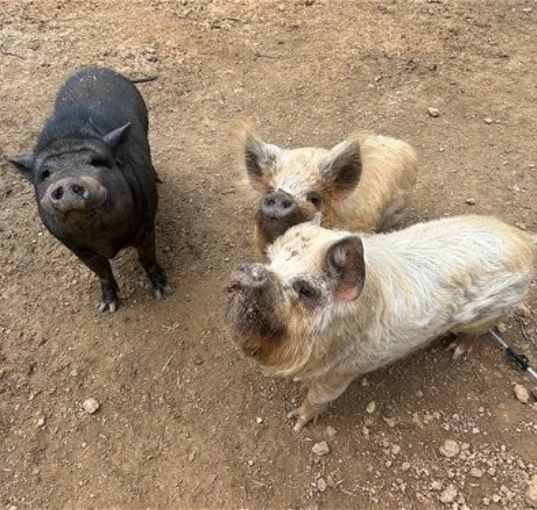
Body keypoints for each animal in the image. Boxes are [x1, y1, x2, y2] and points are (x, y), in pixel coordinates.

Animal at [9, 65, 171, 308]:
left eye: (96, 162)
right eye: (45, 174)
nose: (67, 181)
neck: (103, 238)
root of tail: (98, 68)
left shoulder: (145, 225)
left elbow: (147, 258)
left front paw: (163, 291)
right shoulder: (76, 247)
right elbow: (101, 271)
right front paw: (107, 306)